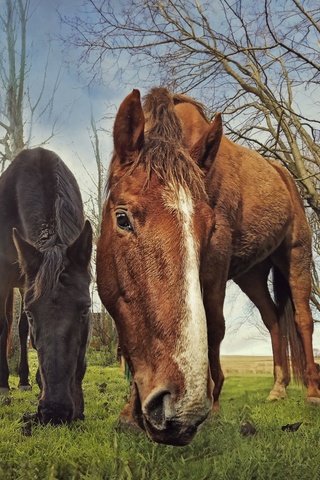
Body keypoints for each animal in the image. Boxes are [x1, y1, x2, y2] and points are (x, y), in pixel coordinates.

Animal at [0, 147, 92, 424]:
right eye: (32, 313)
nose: (55, 411)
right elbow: (5, 325)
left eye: (86, 310)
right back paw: (5, 382)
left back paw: (22, 380)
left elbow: (21, 329)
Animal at [96, 87, 318, 446]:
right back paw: (278, 388)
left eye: (209, 228)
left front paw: (212, 406)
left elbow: (214, 326)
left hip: (296, 256)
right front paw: (129, 412)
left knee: (301, 320)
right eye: (122, 218)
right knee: (273, 320)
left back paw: (311, 392)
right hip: (251, 276)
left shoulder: (217, 258)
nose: (178, 409)